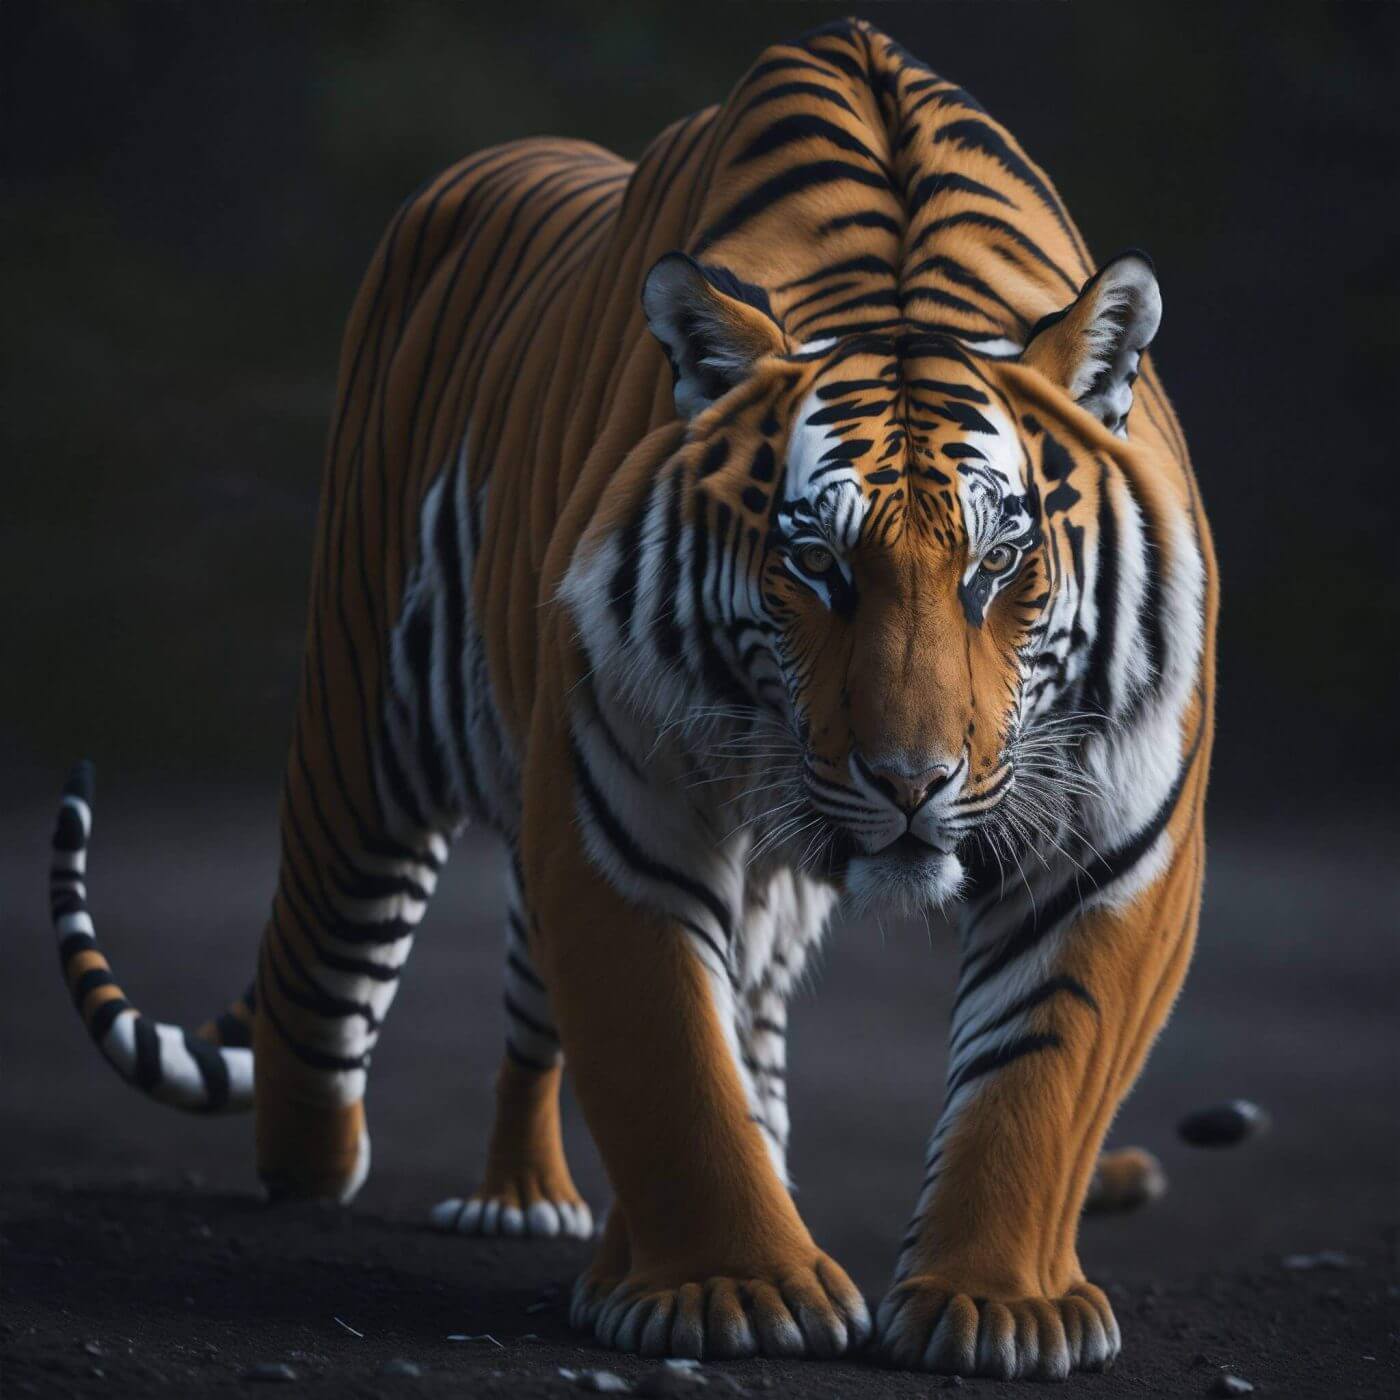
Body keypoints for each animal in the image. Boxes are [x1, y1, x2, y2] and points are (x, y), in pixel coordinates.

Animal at [47, 18, 1214, 1381]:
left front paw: (993, 1304)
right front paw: (737, 1288)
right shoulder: (611, 804)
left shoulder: (1116, 833)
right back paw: (382, 1171)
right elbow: (667, 1057)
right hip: (359, 719)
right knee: (320, 987)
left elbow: (1038, 1072)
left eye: (997, 568)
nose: (909, 782)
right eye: (814, 564)